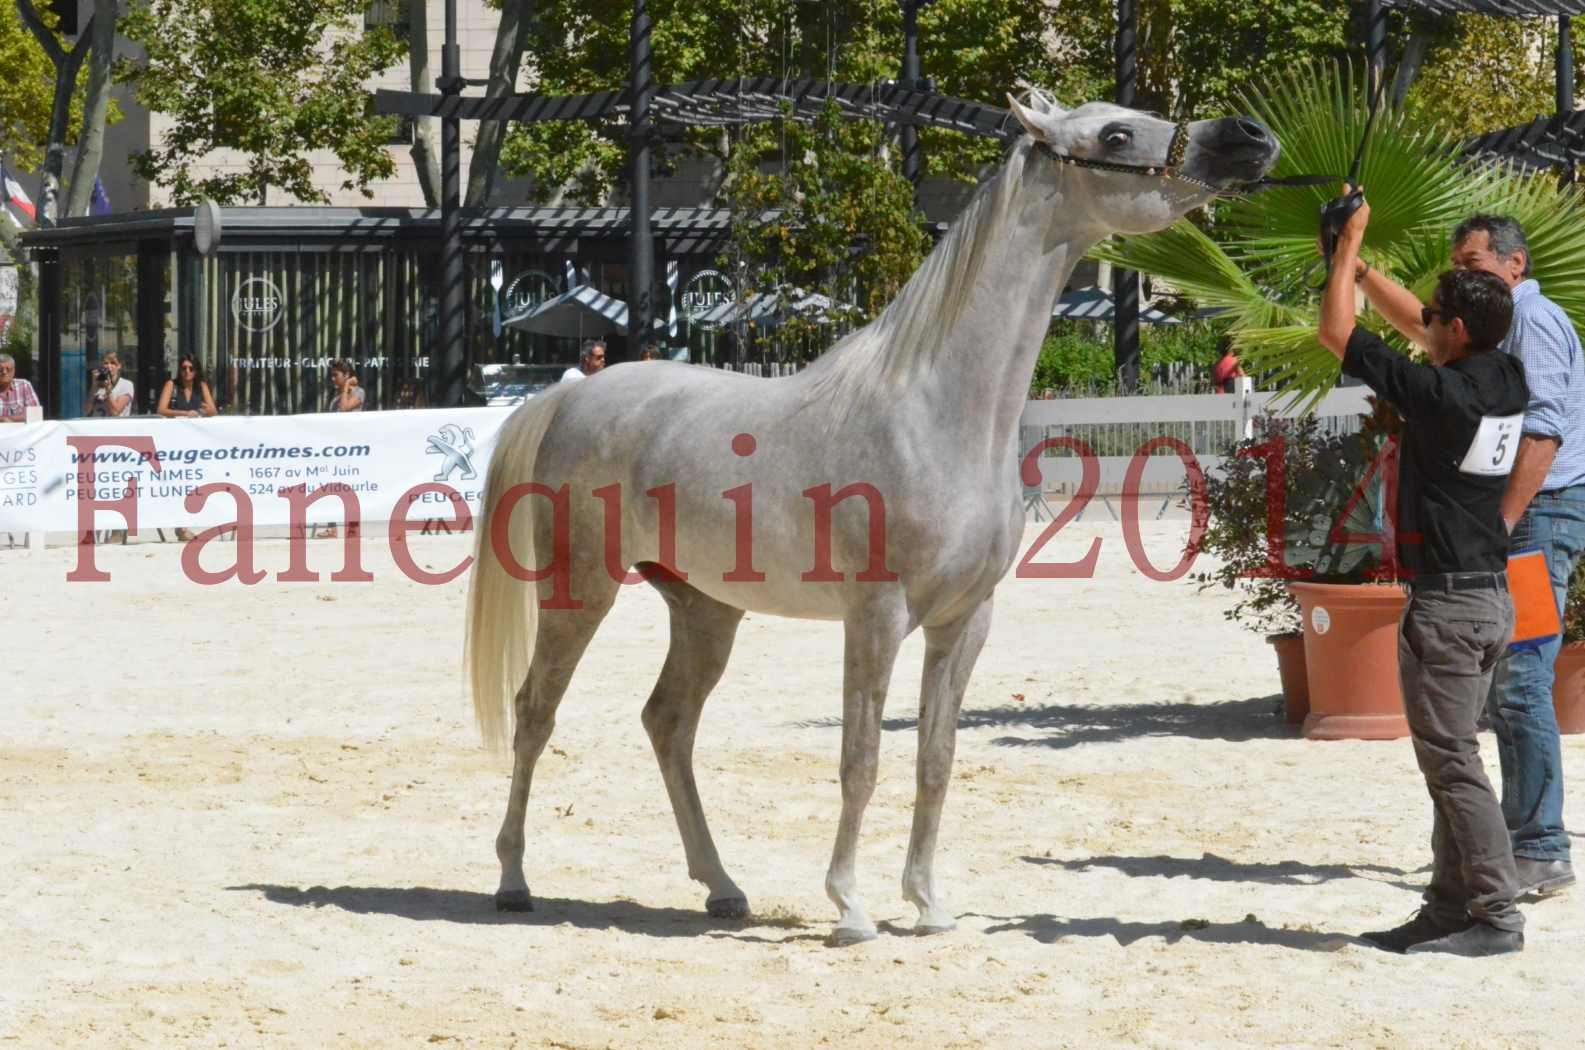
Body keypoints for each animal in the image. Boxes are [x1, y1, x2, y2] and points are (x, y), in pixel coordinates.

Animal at [462, 90, 1274, 945]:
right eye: (1114, 135)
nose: (1247, 138)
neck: (932, 412)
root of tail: (570, 396)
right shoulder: (876, 617)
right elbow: (860, 760)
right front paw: (850, 907)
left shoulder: (964, 621)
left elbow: (933, 760)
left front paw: (927, 904)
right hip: (580, 591)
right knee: (534, 713)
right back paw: (513, 880)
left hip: (705, 609)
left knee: (668, 723)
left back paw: (722, 887)